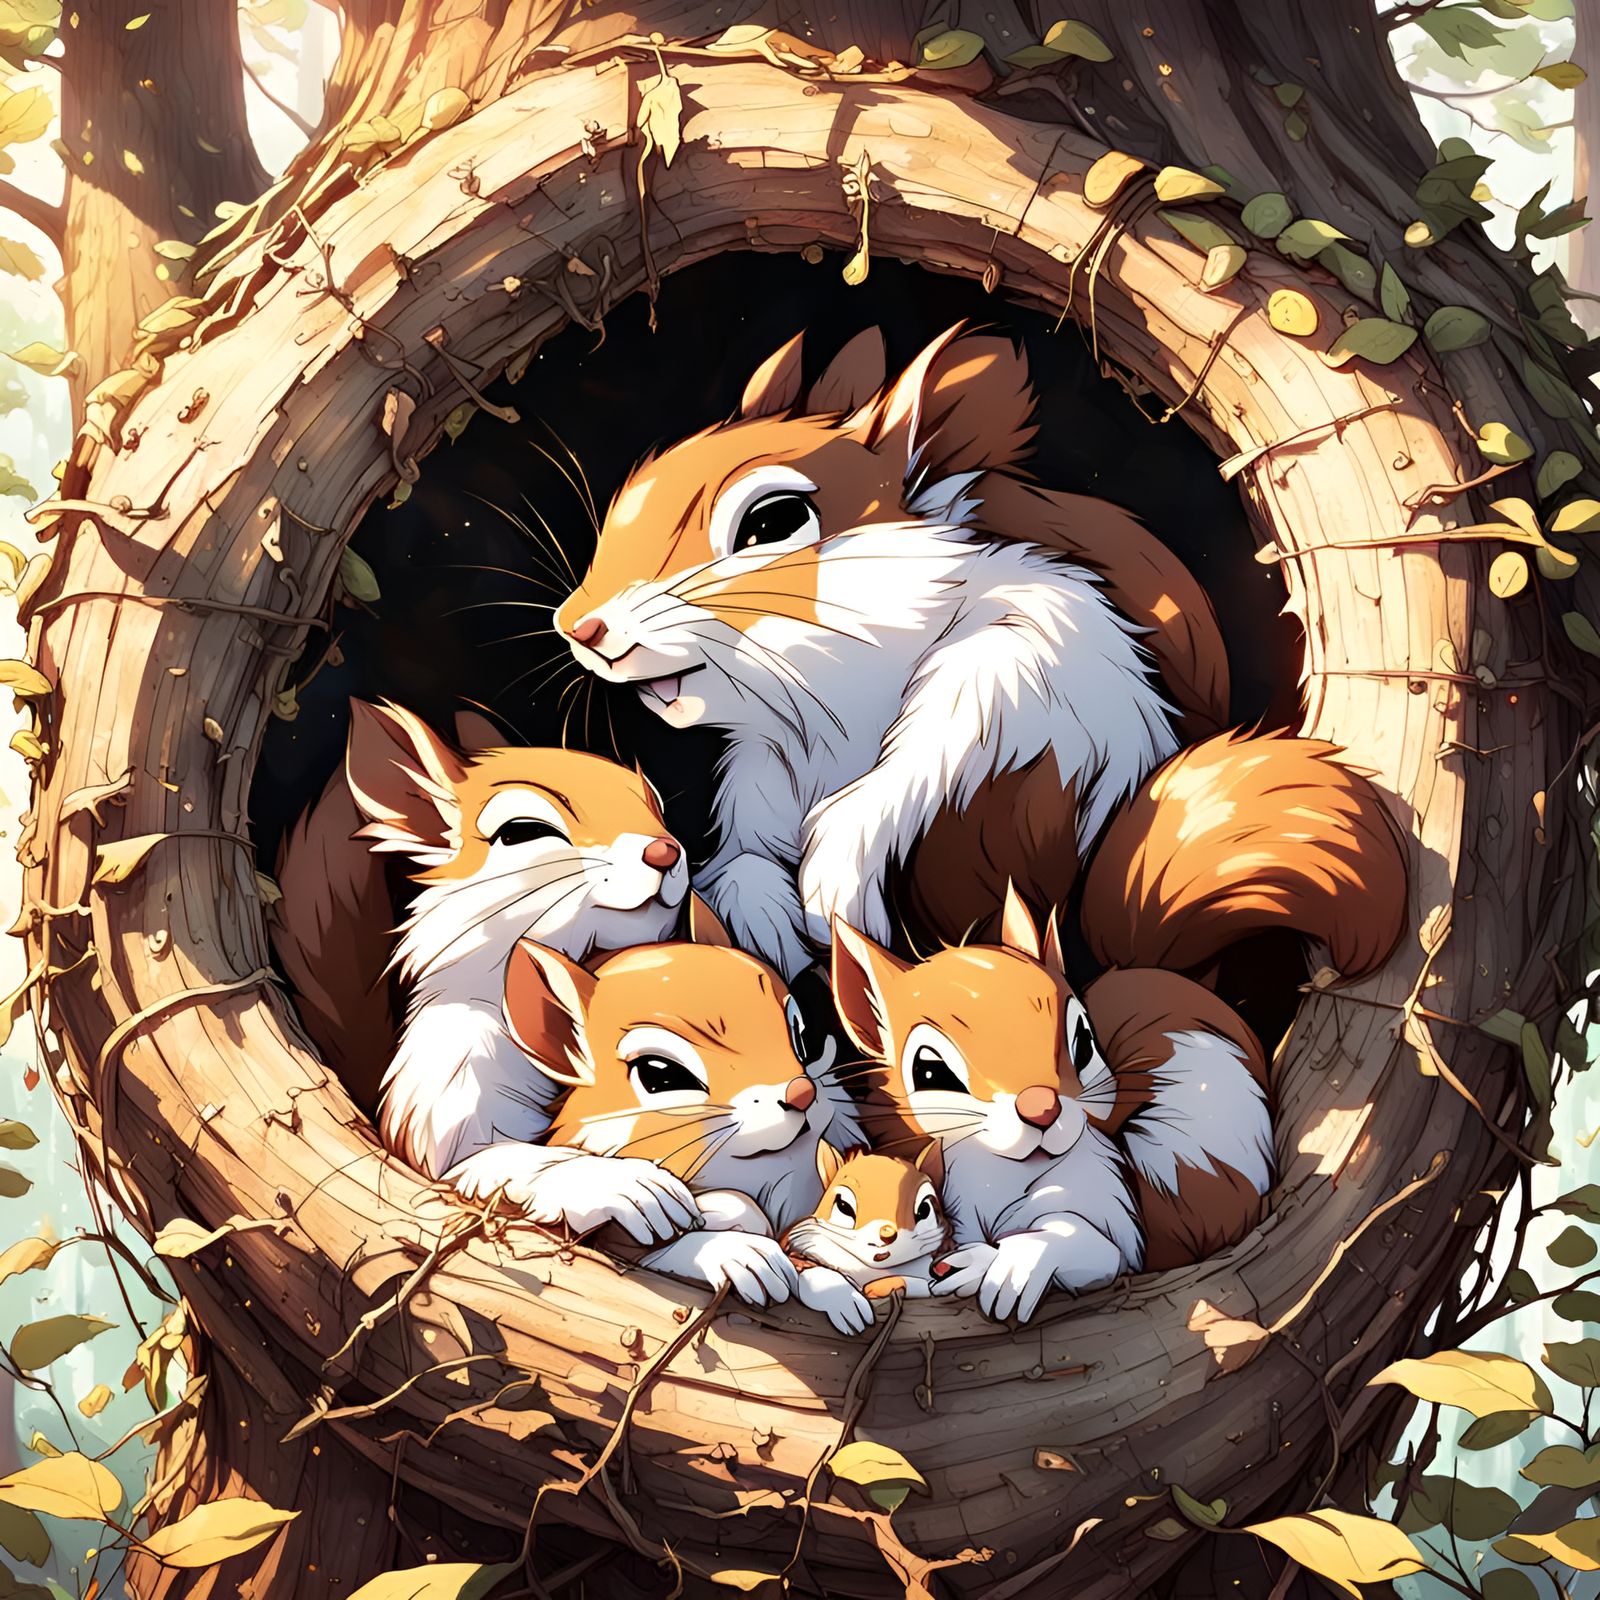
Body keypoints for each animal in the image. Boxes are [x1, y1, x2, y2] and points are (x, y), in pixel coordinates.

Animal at [270, 698, 694, 1239]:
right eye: (523, 832)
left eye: (657, 808)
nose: (666, 850)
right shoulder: (450, 1096)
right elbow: (497, 1160)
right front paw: (628, 1185)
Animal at [499, 896, 865, 1318]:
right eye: (660, 1073)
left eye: (801, 1037)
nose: (802, 1092)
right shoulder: (616, 1244)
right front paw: (744, 1252)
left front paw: (840, 1294)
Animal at [552, 322, 1231, 978]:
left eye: (772, 523)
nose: (578, 626)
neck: (837, 717)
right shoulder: (762, 775)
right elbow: (743, 858)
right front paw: (765, 918)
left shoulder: (1025, 671)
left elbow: (917, 769)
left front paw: (832, 889)